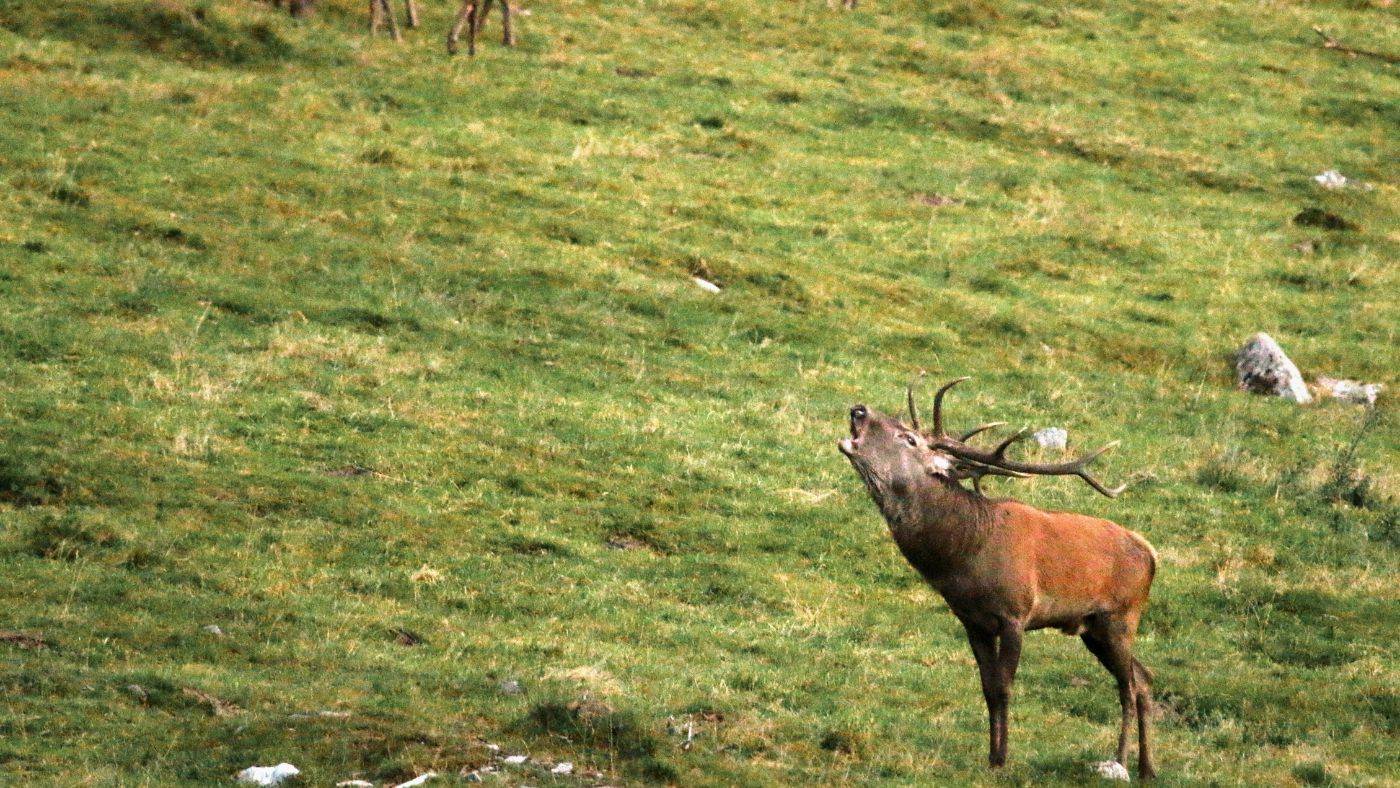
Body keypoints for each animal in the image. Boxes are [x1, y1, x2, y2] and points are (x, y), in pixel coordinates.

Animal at [838, 377, 1158, 779]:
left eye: (908, 438)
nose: (859, 409)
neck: (963, 558)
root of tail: (1152, 554)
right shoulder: (972, 621)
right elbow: (988, 688)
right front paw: (991, 756)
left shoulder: (1014, 614)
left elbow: (1004, 687)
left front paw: (1003, 759)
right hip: (1094, 628)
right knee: (1144, 679)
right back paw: (1148, 768)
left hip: (1121, 616)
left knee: (1128, 686)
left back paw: (1120, 762)